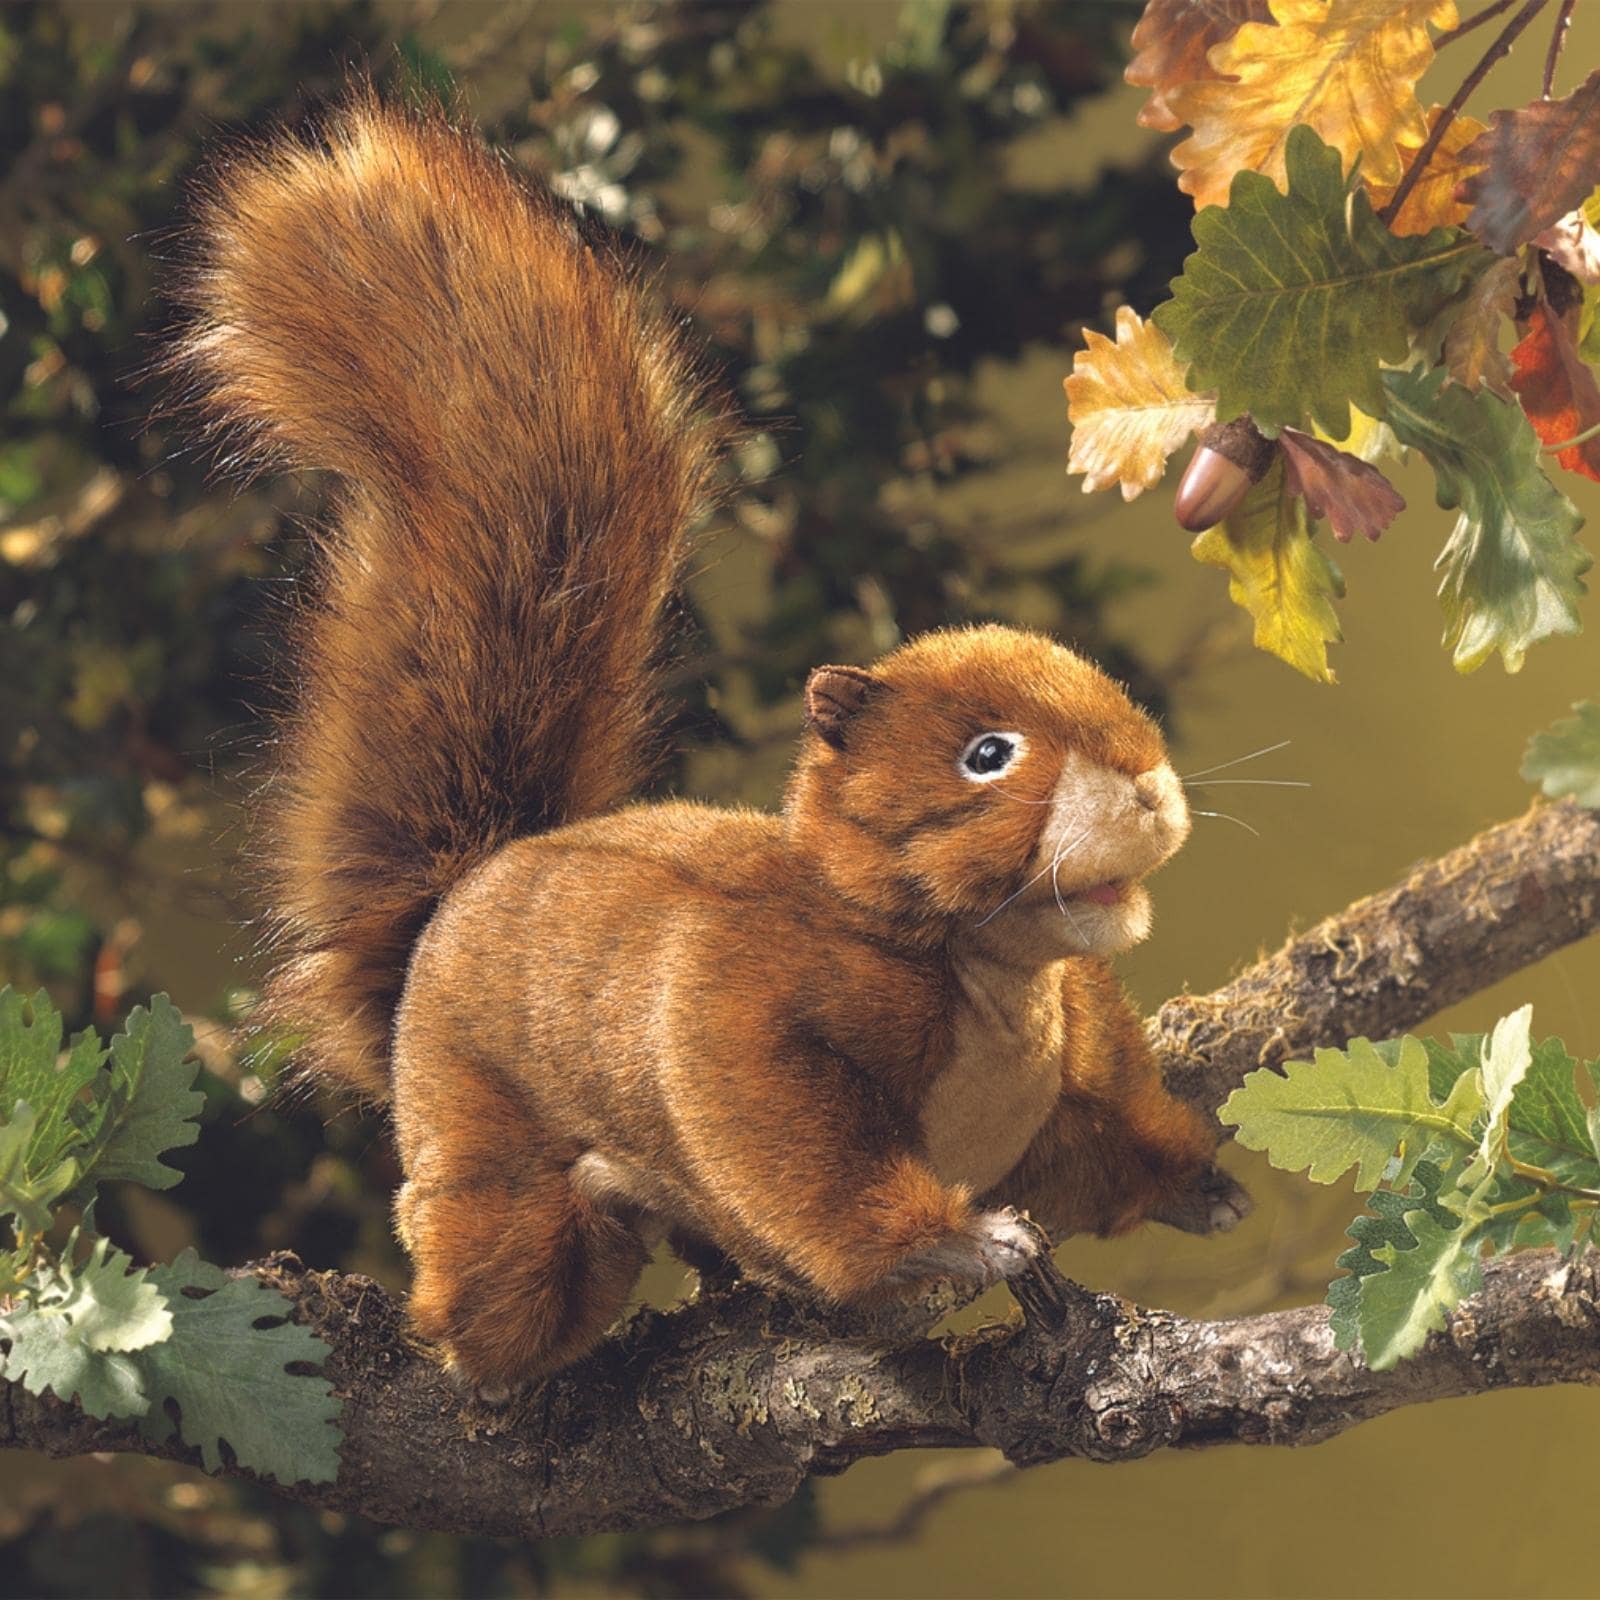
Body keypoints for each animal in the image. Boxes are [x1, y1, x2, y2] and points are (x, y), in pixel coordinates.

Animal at [174, 96, 1250, 1390]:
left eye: (1108, 684)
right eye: (985, 754)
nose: (1145, 786)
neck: (992, 977)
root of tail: (452, 897)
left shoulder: (1079, 1065)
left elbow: (1108, 1149)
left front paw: (1202, 1184)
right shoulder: (751, 1008)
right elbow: (790, 1151)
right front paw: (953, 1245)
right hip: (475, 1135)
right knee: (491, 1299)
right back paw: (548, 1255)